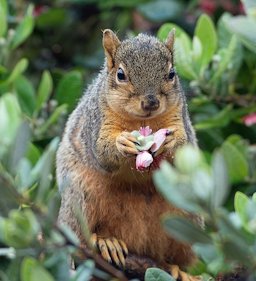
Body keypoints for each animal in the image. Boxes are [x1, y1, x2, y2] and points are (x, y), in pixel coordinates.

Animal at [57, 29, 201, 280]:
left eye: (171, 73)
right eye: (121, 75)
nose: (151, 102)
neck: (141, 121)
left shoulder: (179, 116)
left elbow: (185, 149)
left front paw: (172, 141)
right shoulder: (97, 120)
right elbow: (101, 153)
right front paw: (121, 143)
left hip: (186, 215)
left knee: (173, 257)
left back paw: (179, 270)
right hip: (79, 194)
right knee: (81, 237)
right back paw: (105, 241)